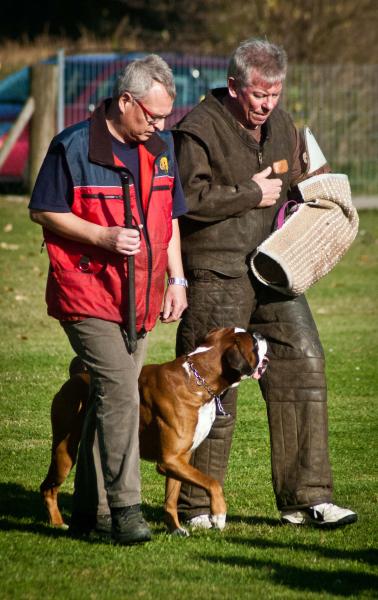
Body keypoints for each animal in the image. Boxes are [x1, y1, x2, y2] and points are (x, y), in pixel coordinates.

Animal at [40, 326, 268, 536]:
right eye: (254, 343)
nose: (261, 333)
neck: (197, 379)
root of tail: (77, 375)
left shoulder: (178, 461)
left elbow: (171, 499)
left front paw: (175, 528)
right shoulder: (170, 460)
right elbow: (212, 483)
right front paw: (218, 515)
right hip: (64, 452)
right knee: (48, 487)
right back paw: (58, 523)